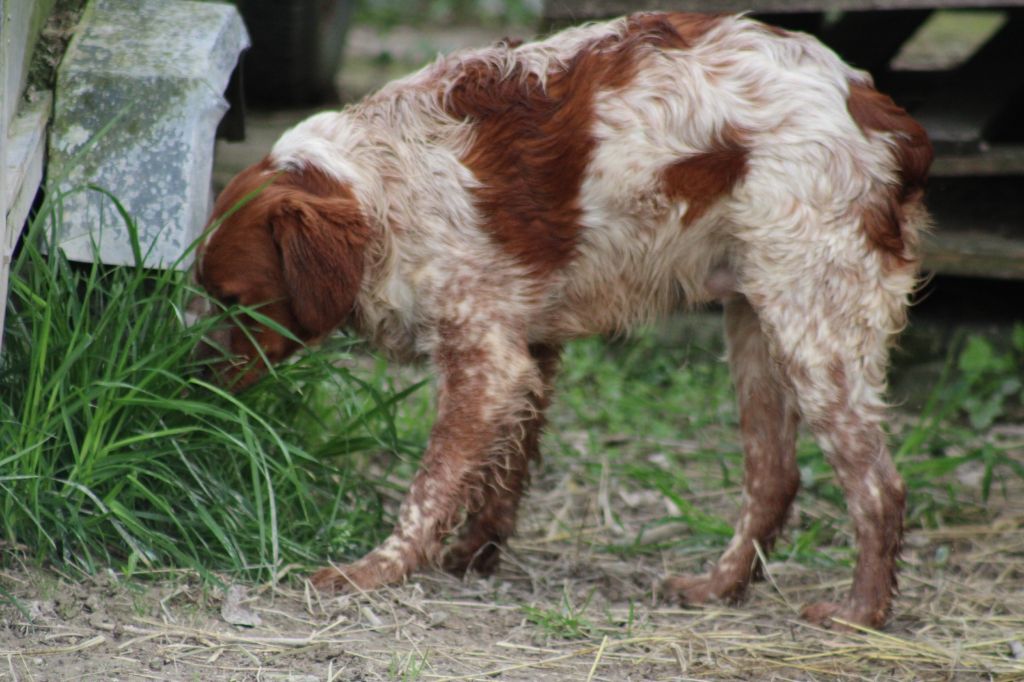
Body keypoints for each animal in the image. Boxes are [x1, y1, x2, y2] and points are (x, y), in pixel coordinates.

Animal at [195, 11, 933, 626]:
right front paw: (473, 556)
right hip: (756, 324)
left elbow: (429, 488)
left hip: (813, 329)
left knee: (880, 487)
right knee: (775, 476)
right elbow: (503, 472)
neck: (384, 185)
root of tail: (885, 118)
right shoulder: (530, 350)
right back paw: (717, 589)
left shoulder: (486, 360)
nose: (194, 382)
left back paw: (861, 613)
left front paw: (373, 571)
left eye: (237, 300)